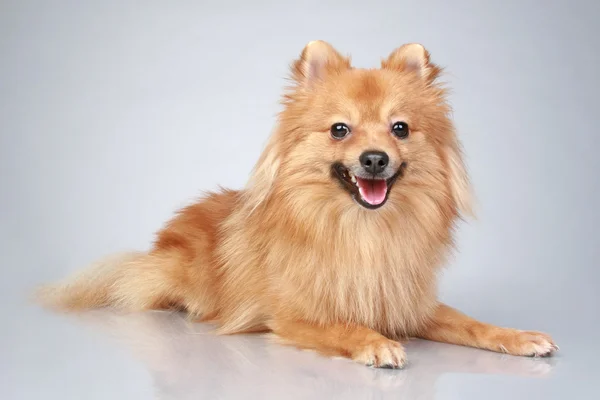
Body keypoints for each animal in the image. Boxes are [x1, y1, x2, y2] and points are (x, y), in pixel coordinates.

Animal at [35, 41, 556, 368]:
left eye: (400, 128)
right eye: (340, 129)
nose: (374, 158)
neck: (363, 231)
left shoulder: (408, 302)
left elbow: (470, 323)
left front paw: (519, 336)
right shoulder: (292, 316)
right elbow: (343, 327)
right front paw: (375, 344)